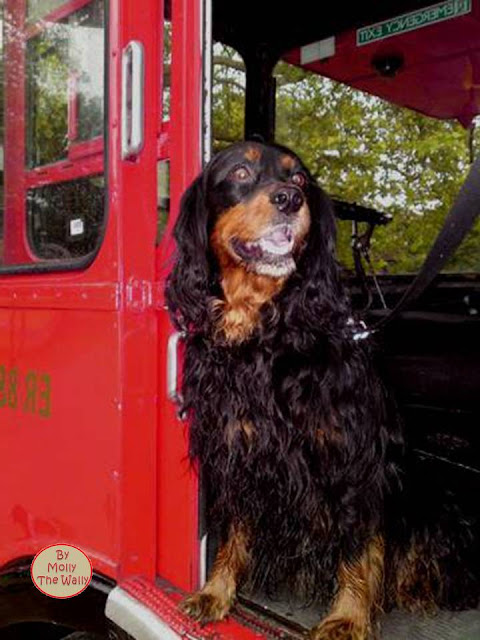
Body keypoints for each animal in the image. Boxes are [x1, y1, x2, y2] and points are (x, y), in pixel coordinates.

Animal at [164, 142, 476, 636]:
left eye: (300, 179)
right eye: (240, 172)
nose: (290, 199)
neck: (264, 334)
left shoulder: (352, 458)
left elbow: (358, 546)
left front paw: (348, 617)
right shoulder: (239, 450)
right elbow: (235, 531)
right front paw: (217, 591)